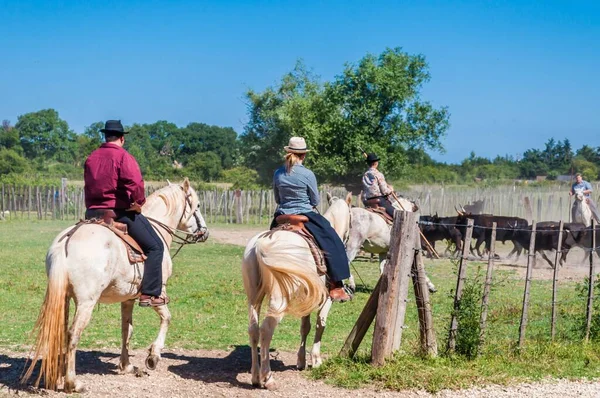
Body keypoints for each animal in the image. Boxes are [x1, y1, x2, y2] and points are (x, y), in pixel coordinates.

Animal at [21, 180, 209, 392]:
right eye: (198, 205)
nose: (205, 232)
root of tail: (67, 241)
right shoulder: (159, 292)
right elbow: (166, 318)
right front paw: (153, 356)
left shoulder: (127, 299)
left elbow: (126, 330)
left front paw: (126, 365)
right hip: (86, 303)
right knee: (73, 335)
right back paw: (73, 383)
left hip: (64, 299)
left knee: (60, 333)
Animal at [240, 195, 352, 388]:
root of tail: (261, 244)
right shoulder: (326, 298)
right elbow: (320, 323)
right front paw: (316, 360)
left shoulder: (308, 297)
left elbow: (305, 327)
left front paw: (301, 361)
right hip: (278, 299)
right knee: (266, 330)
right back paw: (268, 378)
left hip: (253, 296)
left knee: (253, 329)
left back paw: (255, 377)